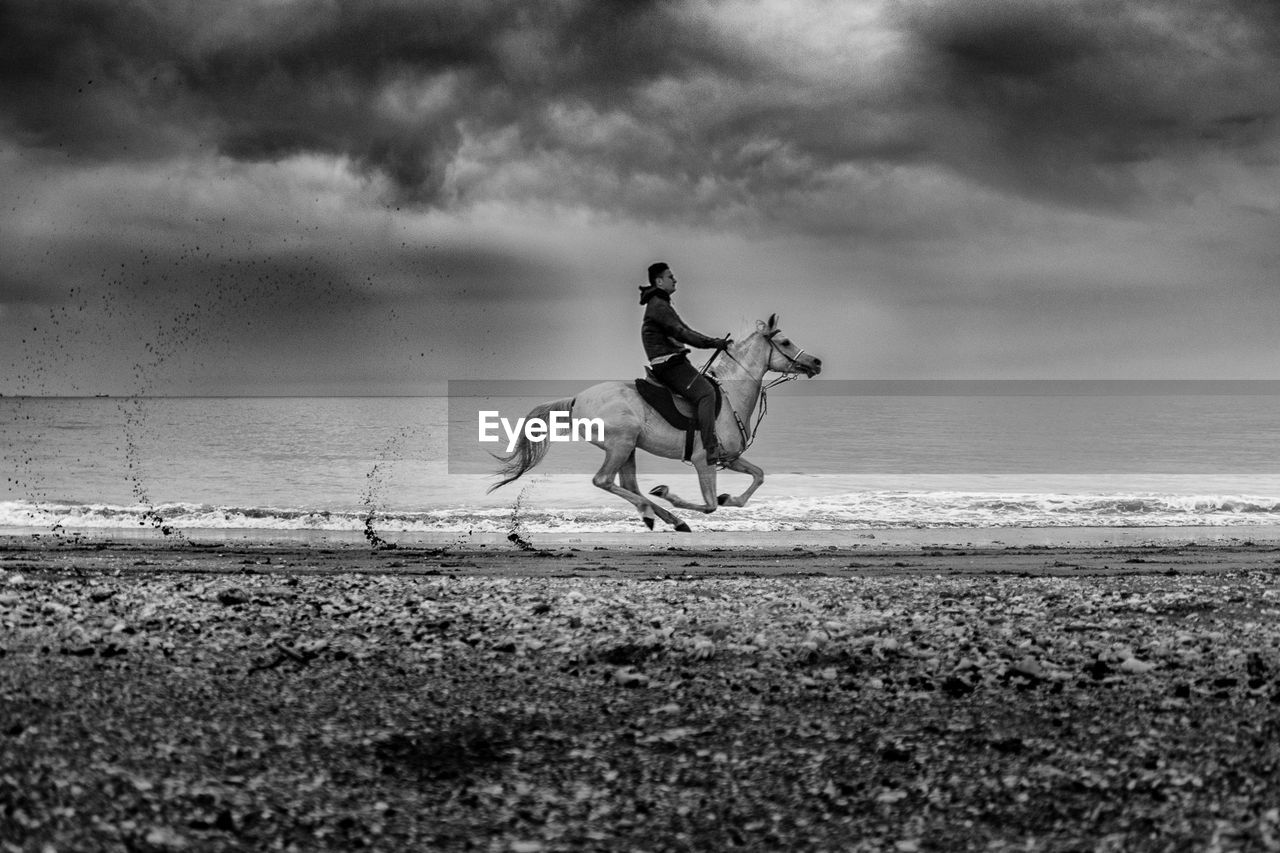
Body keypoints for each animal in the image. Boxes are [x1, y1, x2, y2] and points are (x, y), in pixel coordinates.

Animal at [483, 312, 824, 527]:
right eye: (786, 342)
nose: (816, 362)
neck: (731, 397)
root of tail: (578, 399)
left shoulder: (729, 457)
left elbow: (758, 476)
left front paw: (730, 497)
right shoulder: (704, 459)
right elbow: (710, 504)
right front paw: (673, 496)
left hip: (628, 448)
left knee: (628, 484)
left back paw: (668, 518)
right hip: (621, 443)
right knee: (604, 481)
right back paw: (656, 512)